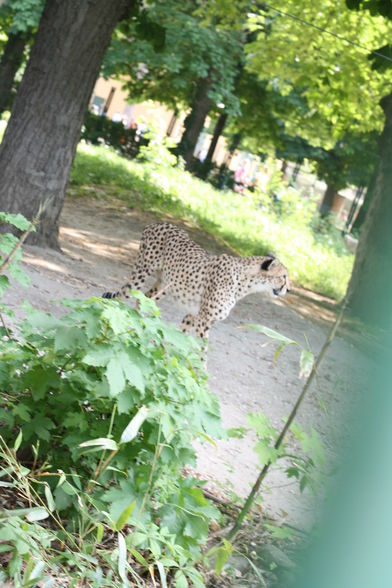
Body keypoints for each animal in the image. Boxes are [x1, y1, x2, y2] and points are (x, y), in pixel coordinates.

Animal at [102, 223, 290, 342]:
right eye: (284, 276)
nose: (288, 290)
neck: (242, 282)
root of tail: (157, 223)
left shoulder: (194, 314)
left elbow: (182, 337)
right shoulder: (204, 320)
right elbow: (201, 351)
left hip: (164, 286)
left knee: (144, 299)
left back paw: (140, 325)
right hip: (141, 274)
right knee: (122, 296)